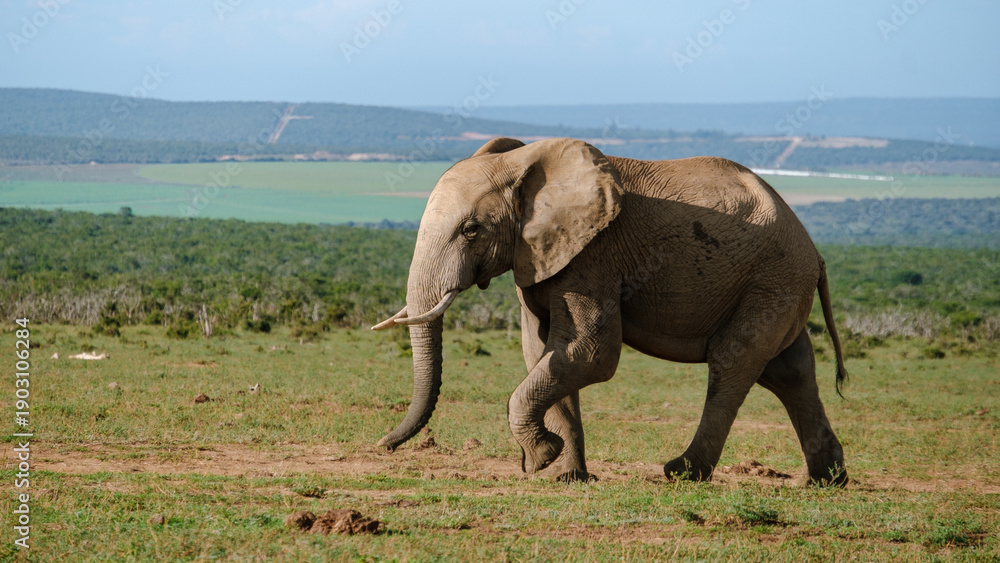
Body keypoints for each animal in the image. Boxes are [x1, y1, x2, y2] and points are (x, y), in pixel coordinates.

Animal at [372, 137, 849, 486]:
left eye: (471, 230)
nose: (382, 446)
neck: (523, 162)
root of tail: (818, 255)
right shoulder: (538, 255)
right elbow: (542, 351)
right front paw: (566, 476)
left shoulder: (594, 253)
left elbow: (588, 352)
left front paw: (540, 458)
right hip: (780, 286)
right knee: (789, 371)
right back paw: (826, 481)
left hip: (773, 279)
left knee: (733, 362)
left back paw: (681, 473)